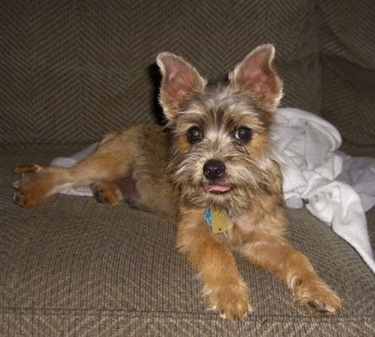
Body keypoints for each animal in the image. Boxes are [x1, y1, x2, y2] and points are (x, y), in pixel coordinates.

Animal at [13, 44, 342, 318]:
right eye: (194, 133)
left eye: (243, 133)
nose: (212, 168)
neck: (229, 201)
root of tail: (118, 132)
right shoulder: (195, 230)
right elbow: (220, 253)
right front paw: (230, 295)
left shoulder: (261, 239)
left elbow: (297, 257)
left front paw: (318, 290)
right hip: (110, 160)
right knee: (60, 173)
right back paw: (32, 190)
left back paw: (105, 192)